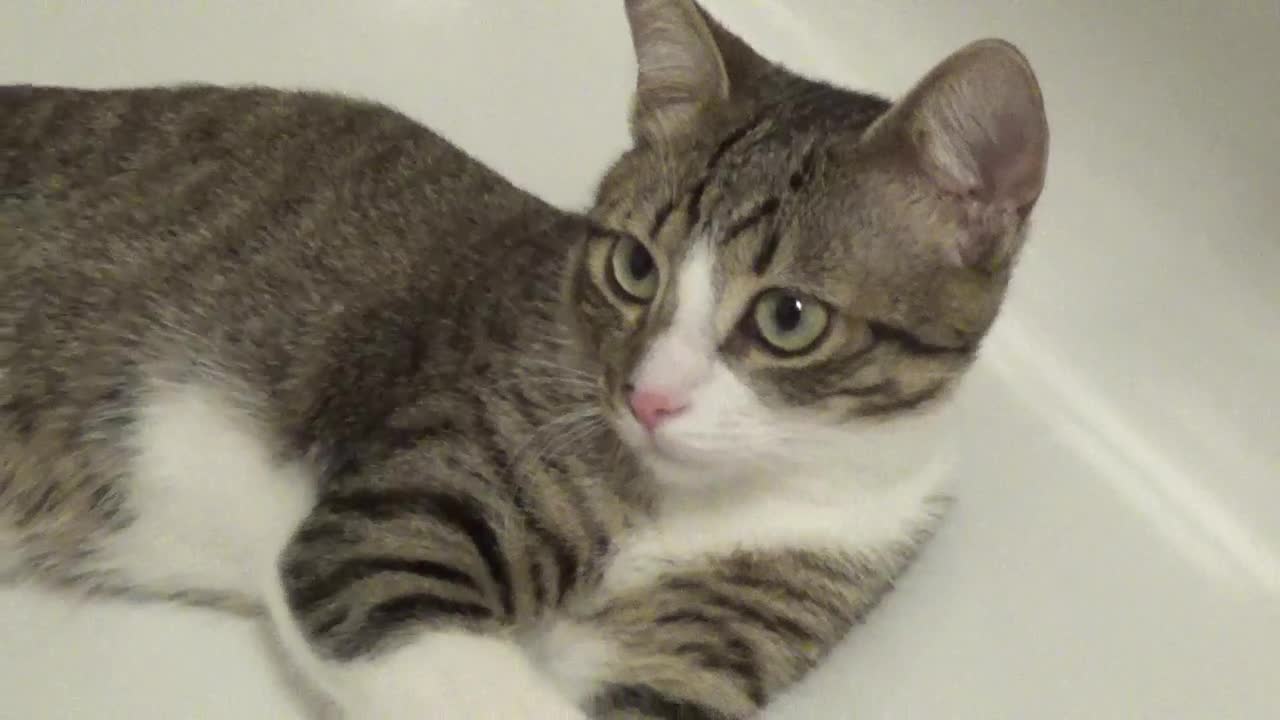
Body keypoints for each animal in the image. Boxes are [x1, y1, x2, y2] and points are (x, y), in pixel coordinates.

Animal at [0, 1, 1049, 717]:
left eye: (789, 318)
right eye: (634, 266)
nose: (647, 399)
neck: (703, 503)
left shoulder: (744, 620)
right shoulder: (387, 537)